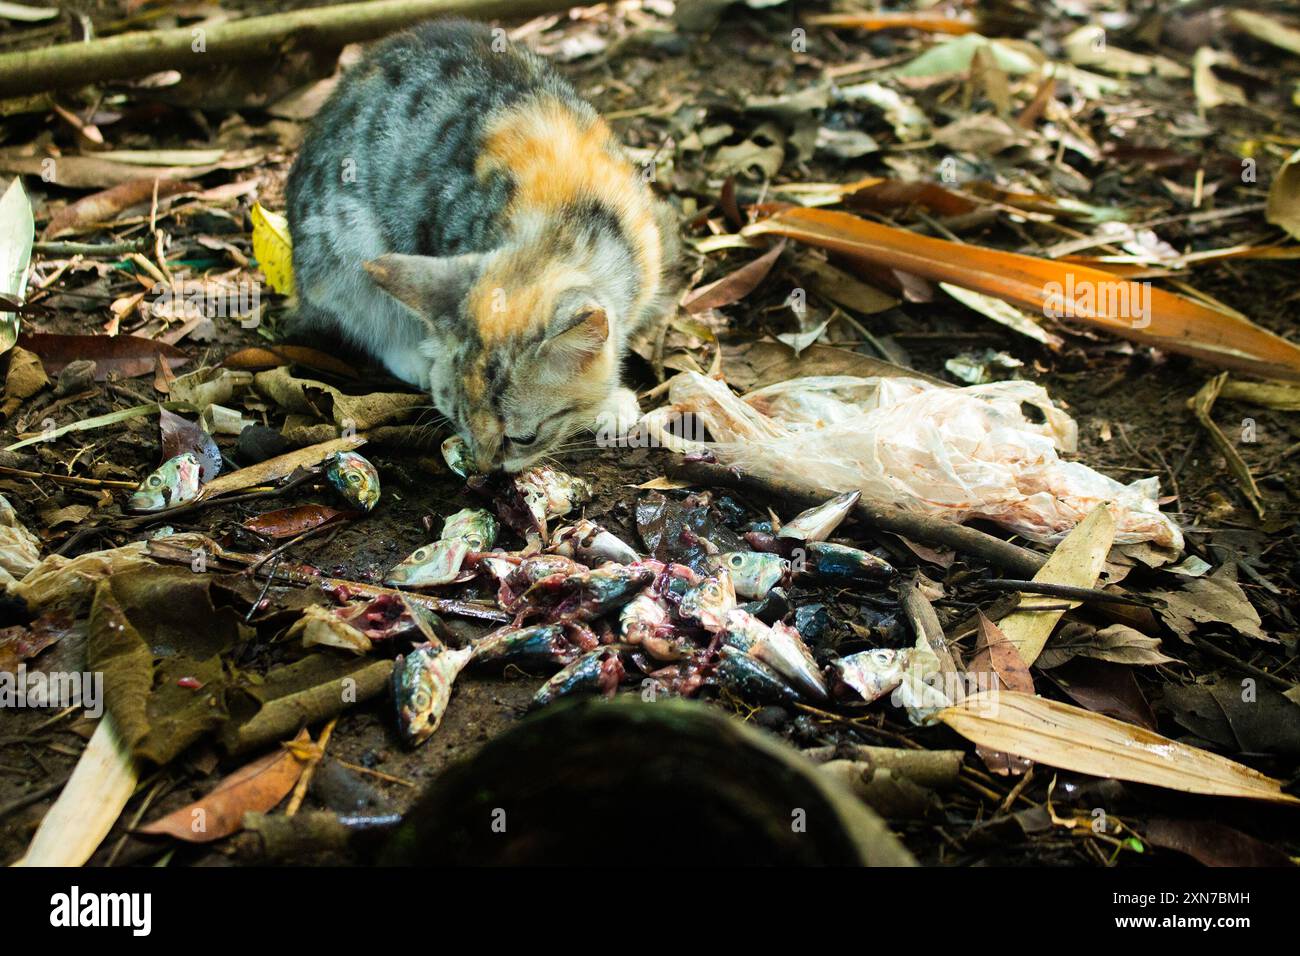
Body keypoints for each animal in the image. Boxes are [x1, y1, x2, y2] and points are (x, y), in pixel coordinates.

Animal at [279, 16, 676, 473]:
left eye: (523, 437)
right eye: (455, 418)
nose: (485, 469)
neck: (564, 222)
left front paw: (611, 401)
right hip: (342, 240)